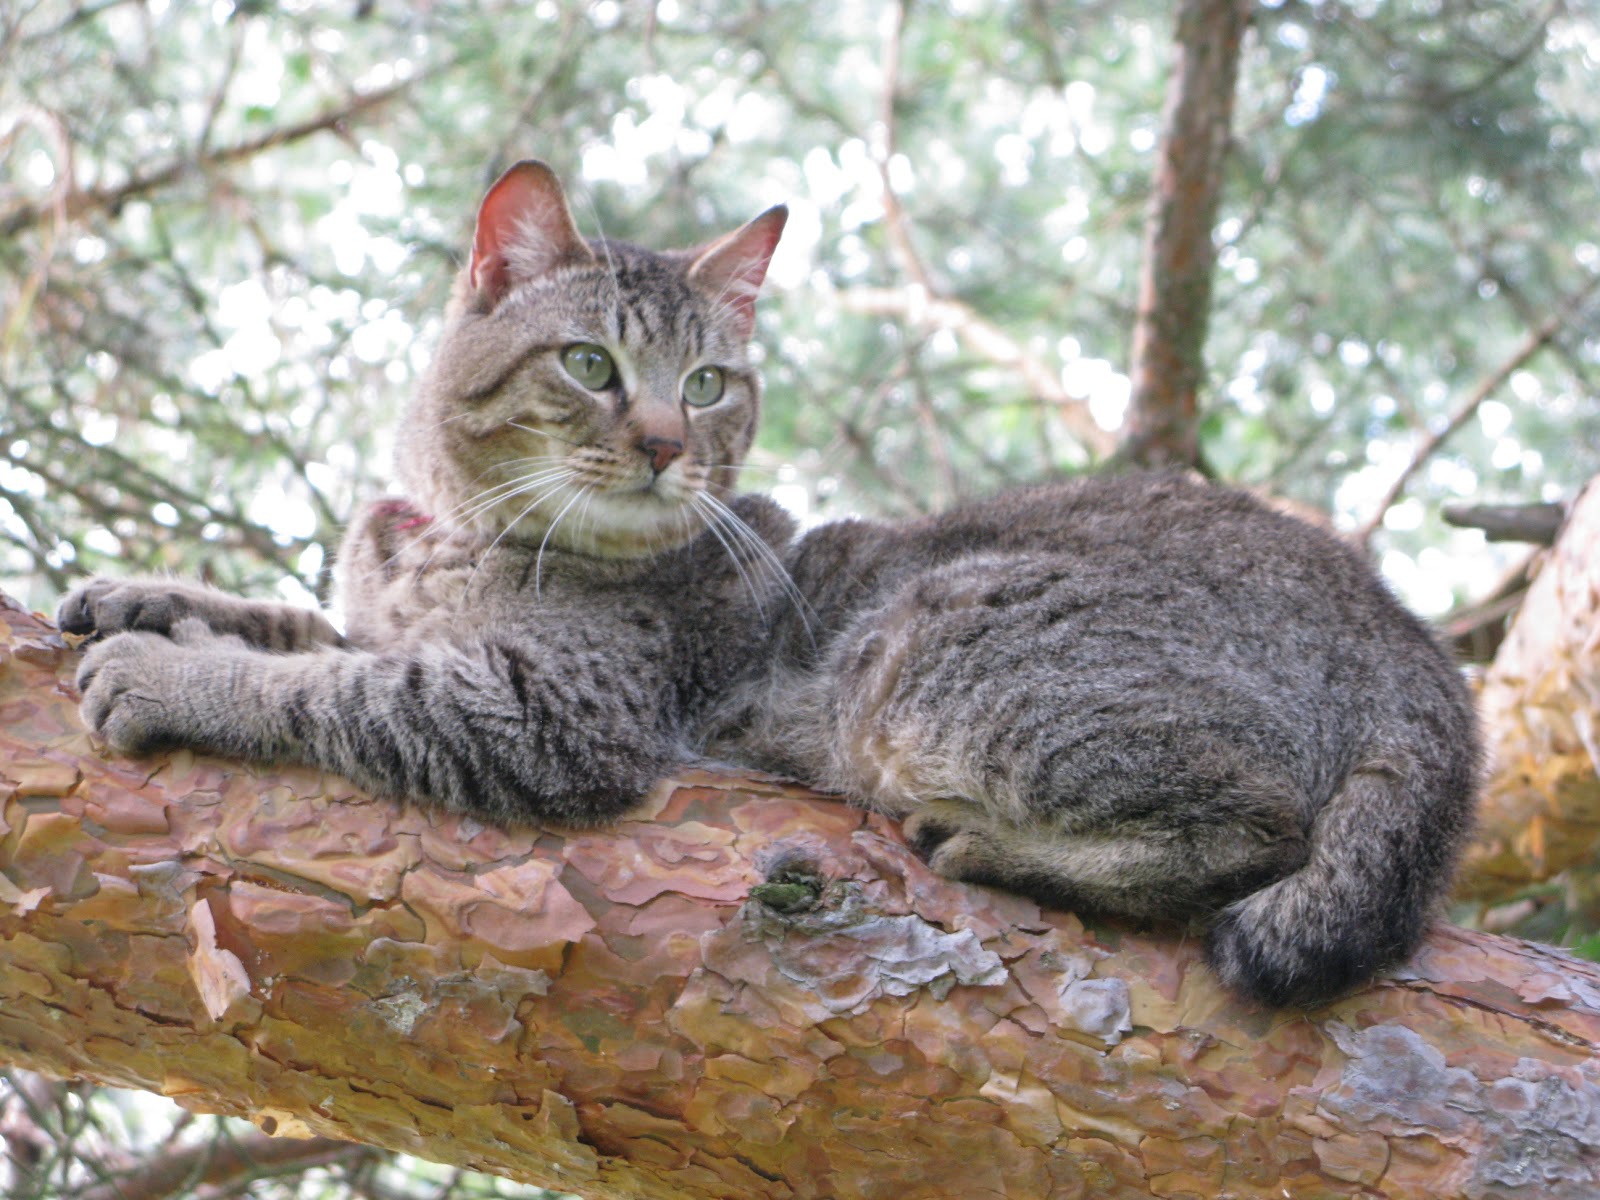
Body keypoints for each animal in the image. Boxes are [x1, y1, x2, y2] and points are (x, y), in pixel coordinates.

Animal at [62, 157, 1484, 1004]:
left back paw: (996, 845)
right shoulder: (395, 620)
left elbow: (327, 689)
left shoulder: (548, 705)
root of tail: (1408, 645)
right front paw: (144, 593)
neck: (455, 531)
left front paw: (171, 670)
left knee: (1258, 829)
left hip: (925, 654)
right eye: (589, 365)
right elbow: (304, 624)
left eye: (706, 384)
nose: (661, 444)